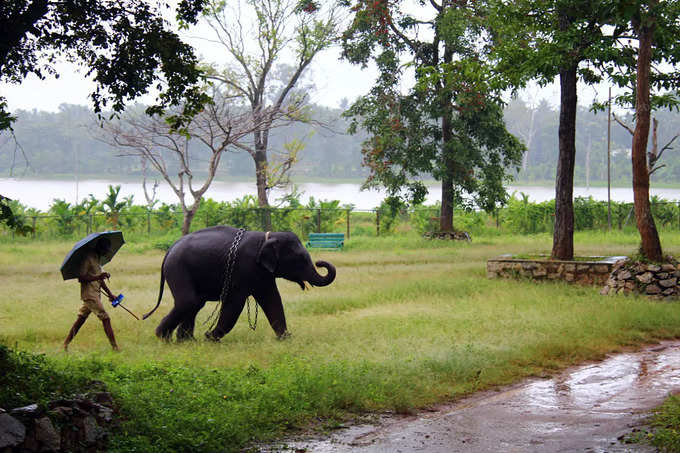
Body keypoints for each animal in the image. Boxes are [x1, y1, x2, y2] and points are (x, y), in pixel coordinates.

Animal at [141, 226, 338, 340]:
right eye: (301, 259)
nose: (320, 262)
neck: (267, 237)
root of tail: (169, 250)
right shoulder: (243, 267)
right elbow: (235, 303)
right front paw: (210, 337)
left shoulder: (262, 273)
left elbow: (272, 299)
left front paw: (286, 338)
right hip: (178, 268)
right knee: (189, 302)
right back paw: (163, 339)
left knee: (195, 303)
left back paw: (186, 341)